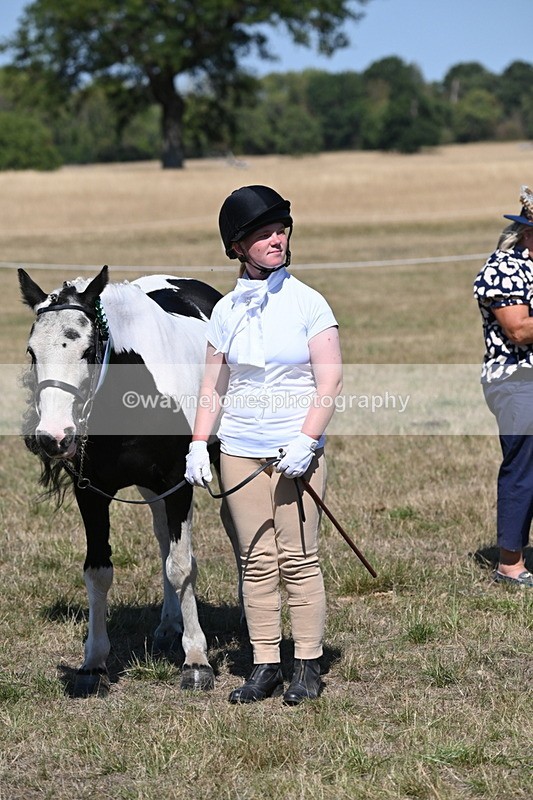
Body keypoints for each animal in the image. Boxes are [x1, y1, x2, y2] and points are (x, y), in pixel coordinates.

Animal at [18, 265, 237, 697]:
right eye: (33, 352)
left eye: (87, 351)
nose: (54, 437)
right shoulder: (91, 492)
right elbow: (98, 571)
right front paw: (93, 663)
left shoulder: (178, 482)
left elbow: (181, 565)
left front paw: (196, 661)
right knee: (162, 536)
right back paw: (169, 623)